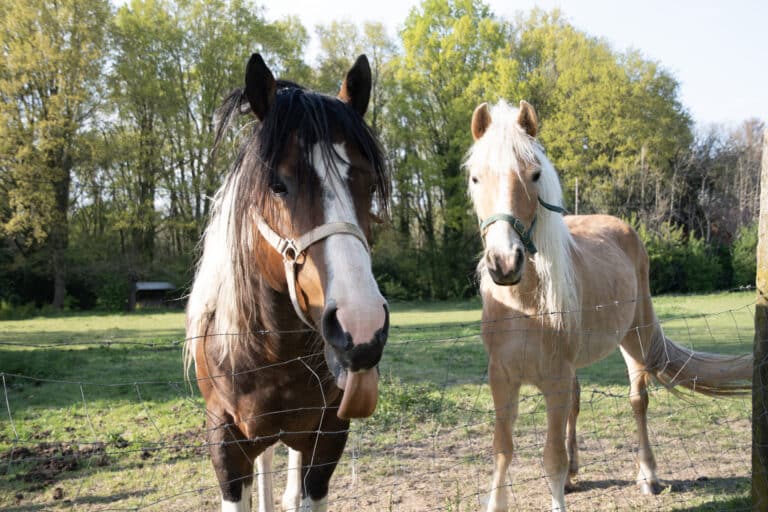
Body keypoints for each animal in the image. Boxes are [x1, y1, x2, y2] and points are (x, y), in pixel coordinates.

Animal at [186, 54, 390, 510]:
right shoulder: (224, 443)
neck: (272, 352)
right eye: (277, 184)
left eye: (369, 185)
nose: (361, 327)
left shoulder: (328, 435)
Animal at [464, 100, 752, 512]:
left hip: (635, 339)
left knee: (638, 401)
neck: (525, 306)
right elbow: (503, 450)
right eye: (475, 178)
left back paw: (648, 476)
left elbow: (551, 458)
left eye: (535, 174)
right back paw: (575, 477)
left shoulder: (555, 379)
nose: (504, 263)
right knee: (578, 404)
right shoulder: (501, 377)